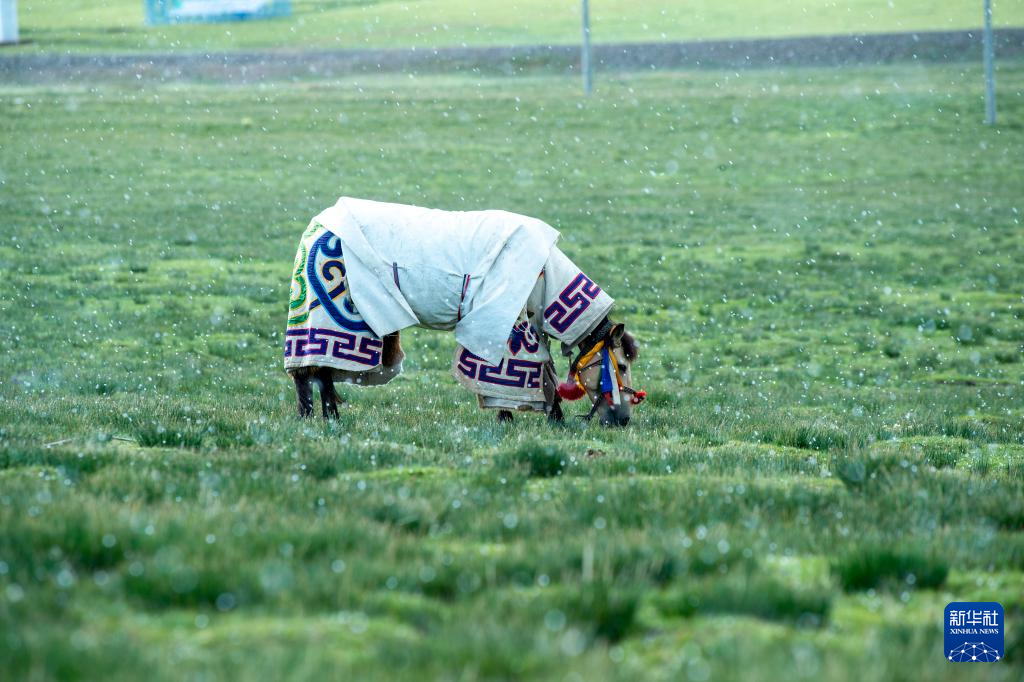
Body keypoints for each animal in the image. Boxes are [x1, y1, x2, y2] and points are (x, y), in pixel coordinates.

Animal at [284, 198, 644, 427]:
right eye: (622, 366)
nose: (623, 421)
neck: (545, 279)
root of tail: (317, 226)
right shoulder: (507, 327)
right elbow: (514, 376)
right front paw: (507, 419)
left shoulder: (530, 322)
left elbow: (547, 372)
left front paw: (555, 419)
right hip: (329, 316)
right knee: (314, 370)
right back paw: (316, 418)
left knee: (318, 372)